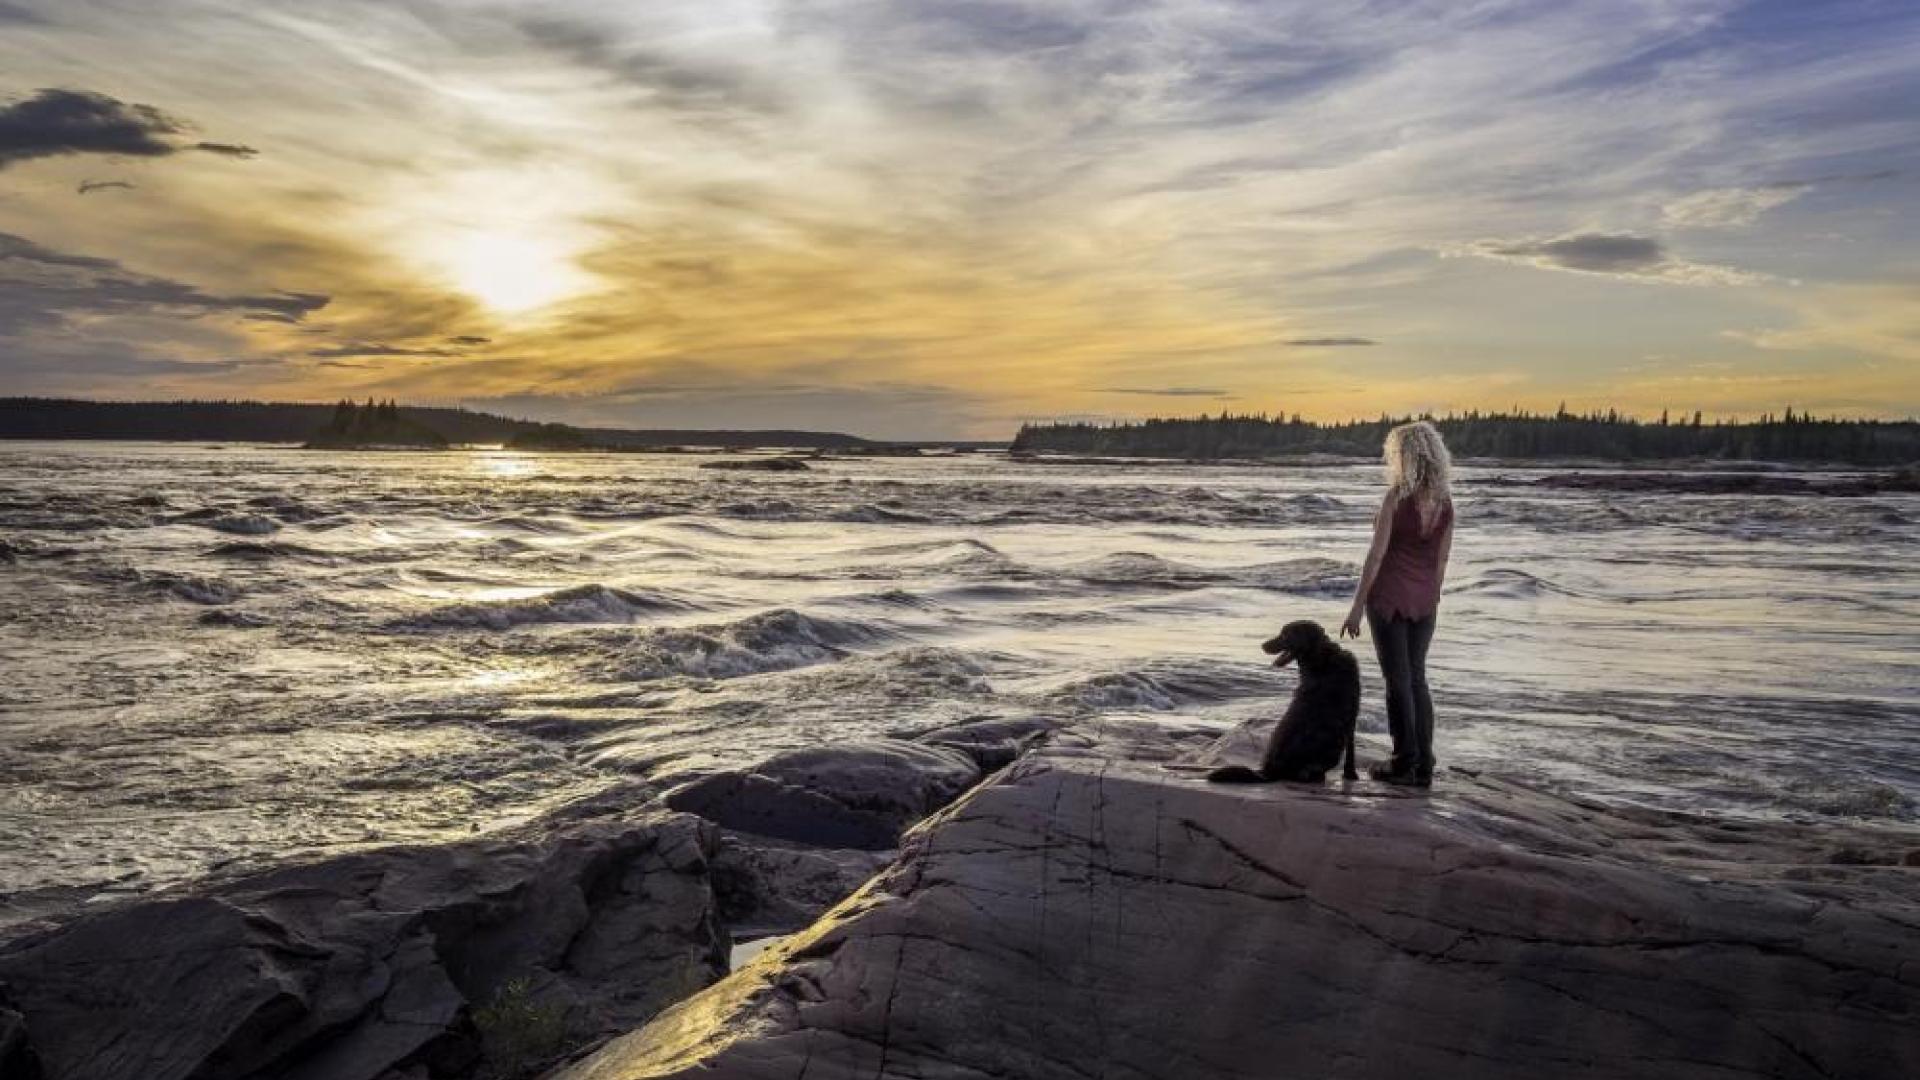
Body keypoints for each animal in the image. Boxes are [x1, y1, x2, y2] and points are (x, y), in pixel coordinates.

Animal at [1205, 614, 1359, 780]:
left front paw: (1350, 774)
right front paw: (1351, 774)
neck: (1322, 657)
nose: (1263, 645)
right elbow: (1351, 749)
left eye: (1285, 635)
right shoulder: (1351, 715)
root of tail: (1268, 771)